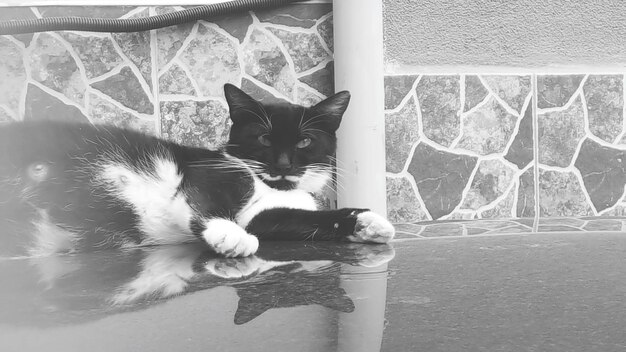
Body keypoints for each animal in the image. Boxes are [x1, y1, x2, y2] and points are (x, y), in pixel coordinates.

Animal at [0, 84, 392, 258]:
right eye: (264, 138)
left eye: (305, 142)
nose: (283, 165)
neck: (269, 186)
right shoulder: (207, 171)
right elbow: (204, 198)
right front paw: (230, 235)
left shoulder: (267, 216)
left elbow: (297, 220)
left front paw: (368, 222)